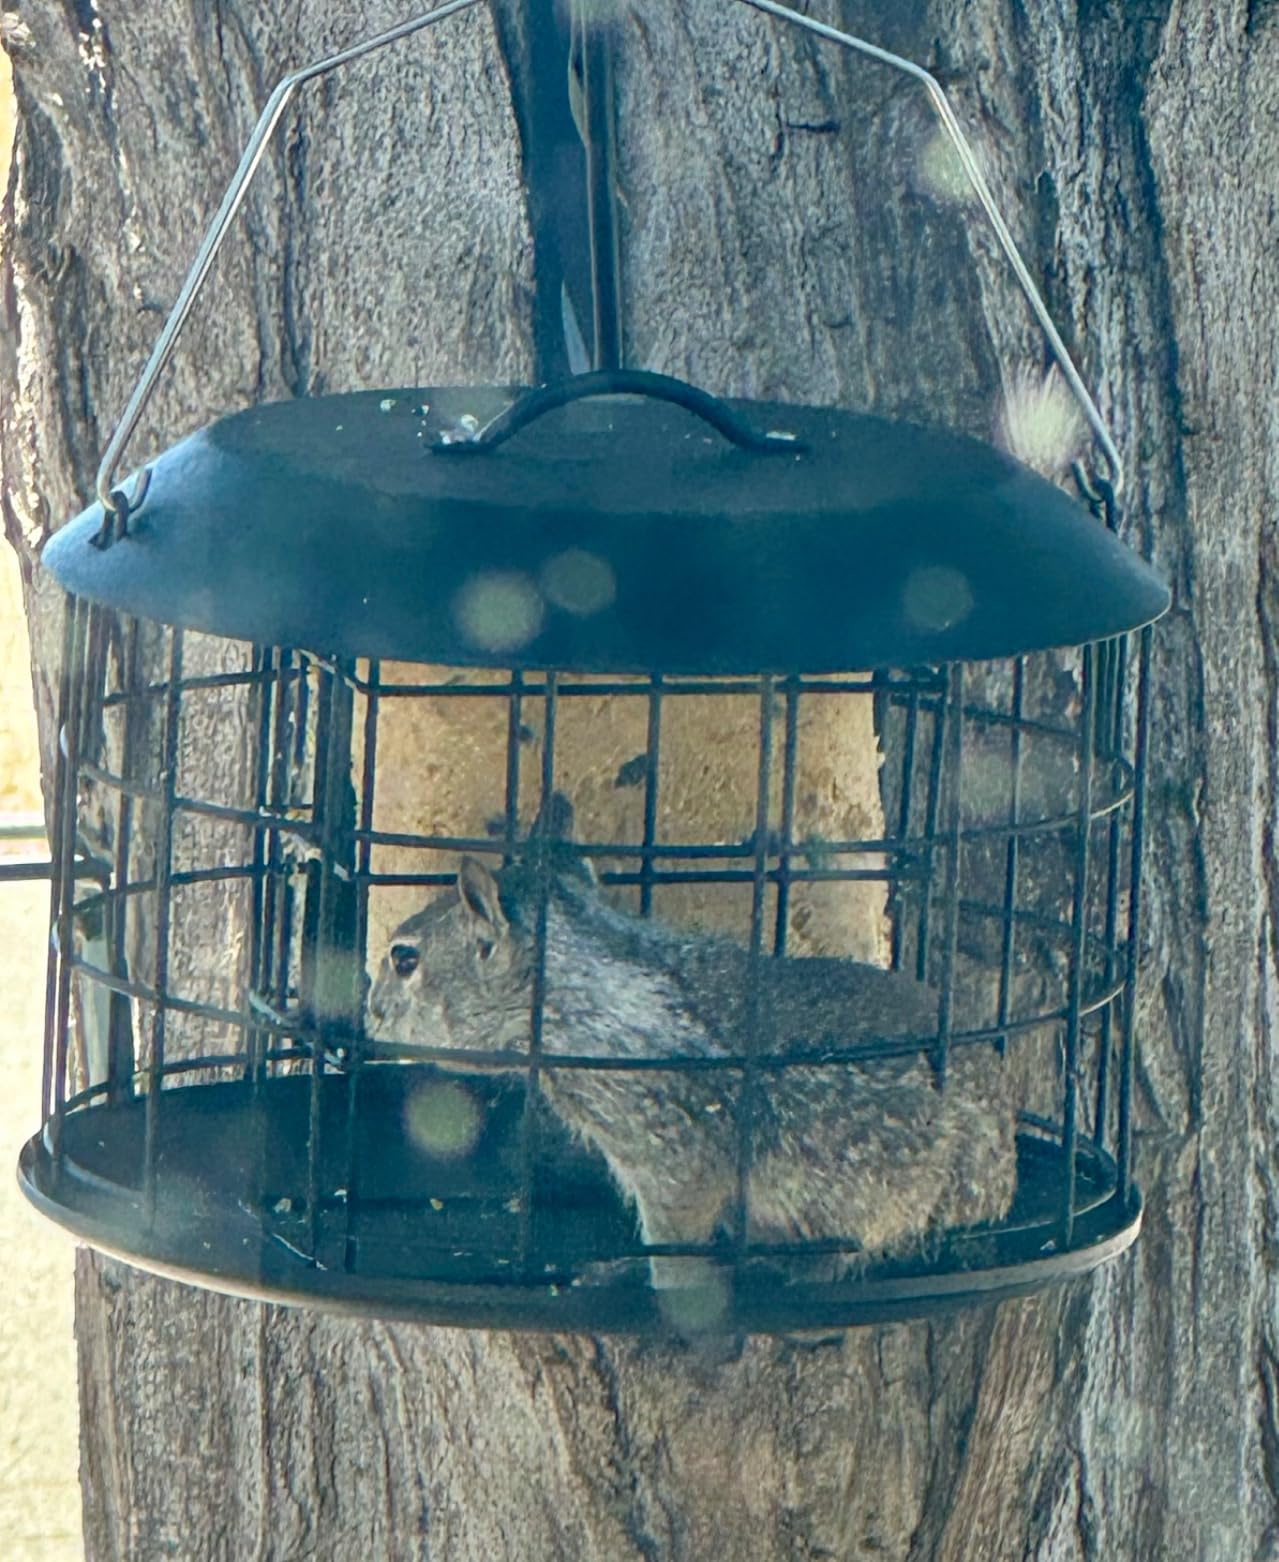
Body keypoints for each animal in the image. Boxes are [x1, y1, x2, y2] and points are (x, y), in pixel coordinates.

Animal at [366, 811, 1018, 1297]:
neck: (574, 993)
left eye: (405, 958)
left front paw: (655, 1285)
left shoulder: (670, 1149)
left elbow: (674, 1246)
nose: (369, 1008)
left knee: (838, 1259)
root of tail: (1002, 1181)